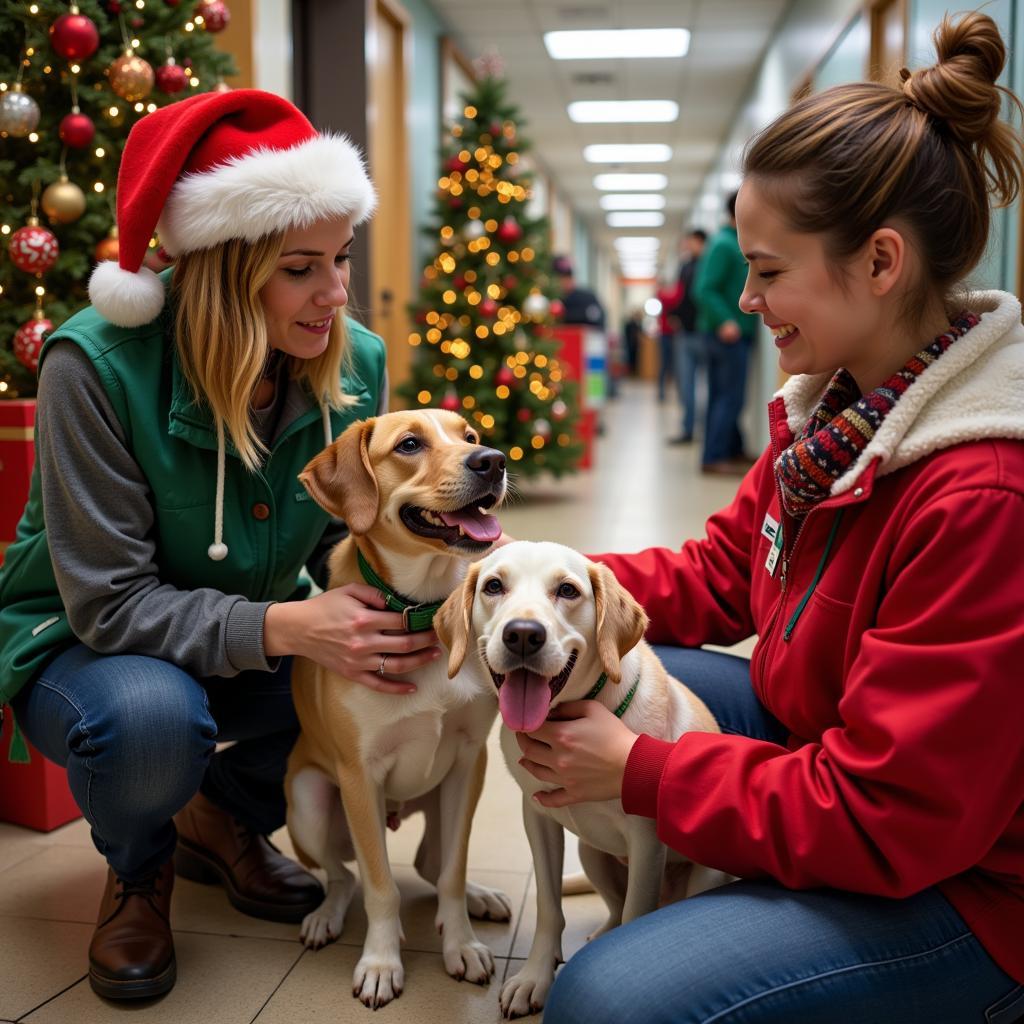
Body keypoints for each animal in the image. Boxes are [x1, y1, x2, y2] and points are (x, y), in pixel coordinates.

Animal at [282, 407, 509, 1007]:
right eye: (409, 445)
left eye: (470, 436)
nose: (495, 460)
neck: (422, 607)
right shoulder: (359, 775)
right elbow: (380, 886)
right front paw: (381, 962)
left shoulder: (468, 760)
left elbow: (452, 870)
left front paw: (461, 944)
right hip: (308, 799)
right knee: (343, 876)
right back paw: (325, 917)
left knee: (432, 863)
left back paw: (480, 897)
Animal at [436, 540, 724, 1019]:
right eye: (494, 585)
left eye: (567, 590)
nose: (523, 634)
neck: (559, 723)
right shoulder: (538, 820)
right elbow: (549, 907)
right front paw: (535, 977)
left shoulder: (647, 843)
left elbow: (636, 913)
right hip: (592, 855)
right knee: (612, 909)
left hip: (706, 873)